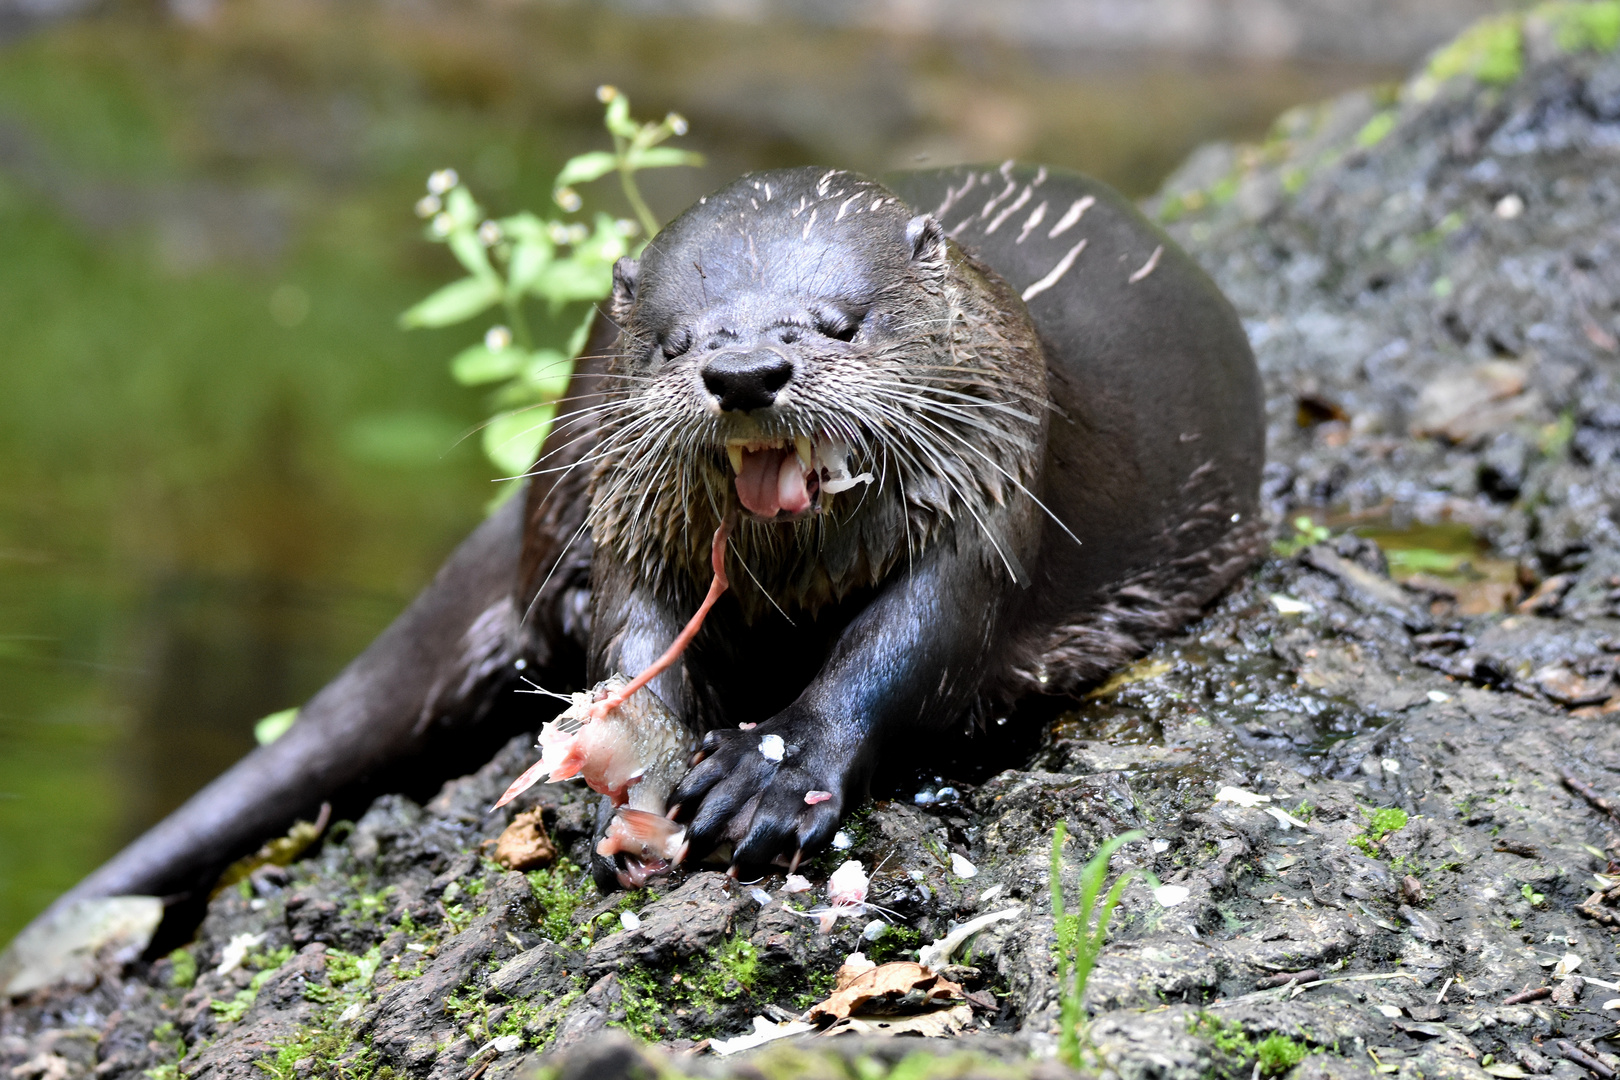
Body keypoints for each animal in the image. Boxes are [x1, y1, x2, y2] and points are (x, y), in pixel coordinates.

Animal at [28, 160, 1263, 932]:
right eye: (677, 340)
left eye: (842, 324)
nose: (745, 369)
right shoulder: (627, 520)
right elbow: (630, 626)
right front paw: (651, 759)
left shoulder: (994, 488)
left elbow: (913, 644)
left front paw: (773, 776)